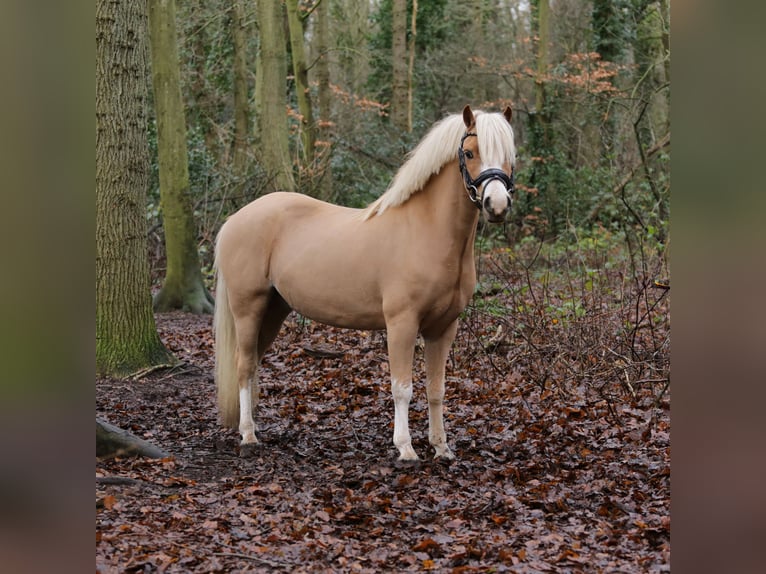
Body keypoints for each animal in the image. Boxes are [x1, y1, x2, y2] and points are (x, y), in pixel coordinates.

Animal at [213, 104, 520, 464]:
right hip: (248, 308)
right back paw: (248, 435)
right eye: (470, 152)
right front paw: (405, 448)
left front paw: (441, 447)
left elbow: (436, 389)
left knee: (254, 364)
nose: (496, 205)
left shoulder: (443, 328)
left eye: (511, 155)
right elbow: (402, 388)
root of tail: (235, 219)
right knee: (244, 365)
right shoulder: (402, 323)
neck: (426, 231)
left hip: (274, 310)